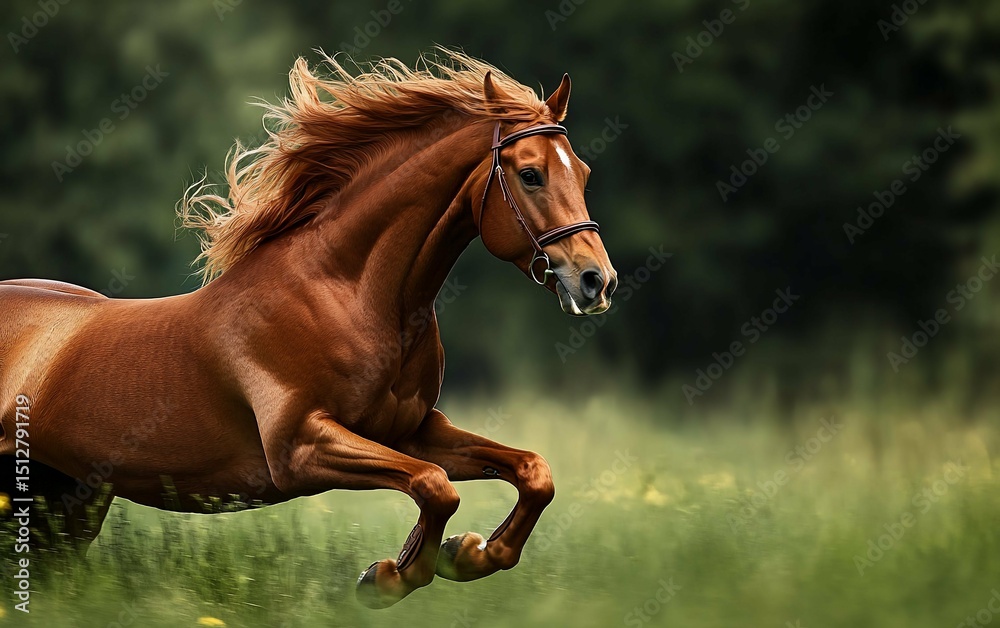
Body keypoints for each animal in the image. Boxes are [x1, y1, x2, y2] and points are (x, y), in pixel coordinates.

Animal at [0, 50, 617, 608]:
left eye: (584, 172)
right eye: (531, 174)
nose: (597, 281)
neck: (347, 293)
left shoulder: (413, 431)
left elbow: (530, 472)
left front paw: (467, 554)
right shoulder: (299, 449)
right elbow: (434, 486)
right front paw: (388, 576)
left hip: (70, 498)